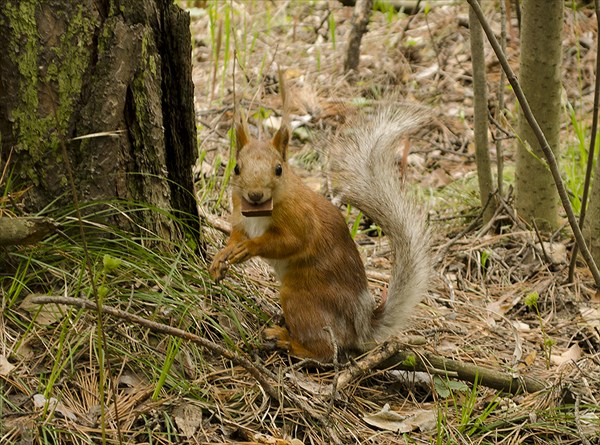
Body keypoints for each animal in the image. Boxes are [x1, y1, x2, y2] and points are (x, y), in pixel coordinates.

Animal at [209, 80, 428, 360]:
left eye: (278, 169)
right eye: (236, 168)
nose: (255, 195)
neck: (262, 211)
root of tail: (360, 328)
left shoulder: (301, 219)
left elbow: (289, 242)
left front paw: (249, 248)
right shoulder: (239, 214)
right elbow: (236, 235)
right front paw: (221, 257)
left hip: (301, 300)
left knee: (324, 350)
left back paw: (288, 341)